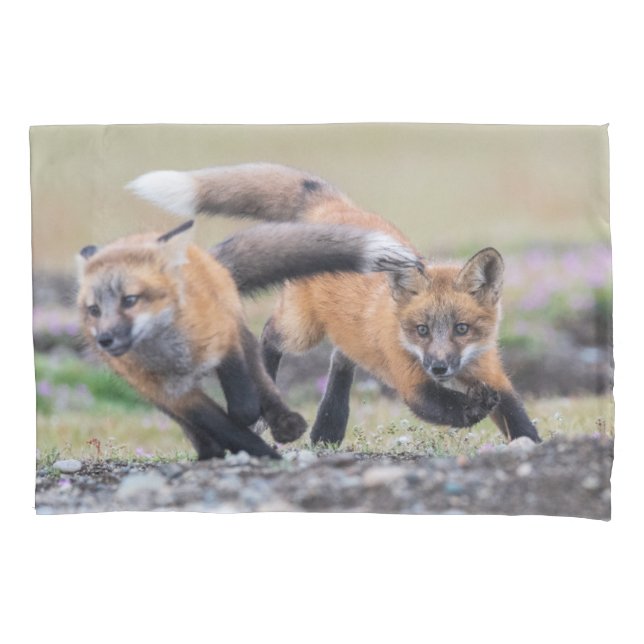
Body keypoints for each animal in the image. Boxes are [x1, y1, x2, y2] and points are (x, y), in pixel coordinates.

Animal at [76, 216, 423, 460]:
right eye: (94, 309)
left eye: (130, 300)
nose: (105, 339)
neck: (173, 353)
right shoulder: (171, 393)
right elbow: (217, 422)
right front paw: (252, 449)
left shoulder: (226, 338)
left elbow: (243, 400)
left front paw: (257, 427)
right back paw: (211, 450)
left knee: (264, 365)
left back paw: (284, 422)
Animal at [128, 163, 542, 446]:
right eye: (421, 330)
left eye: (461, 328)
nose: (439, 367)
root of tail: (334, 208)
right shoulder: (412, 381)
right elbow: (445, 407)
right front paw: (473, 409)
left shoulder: (491, 371)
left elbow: (516, 414)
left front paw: (532, 446)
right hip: (301, 331)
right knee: (271, 335)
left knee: (342, 360)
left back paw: (328, 428)